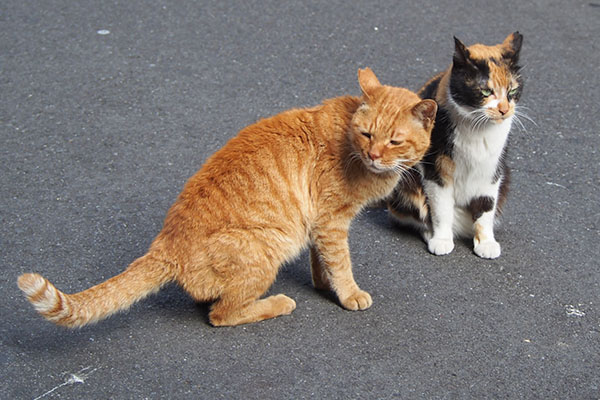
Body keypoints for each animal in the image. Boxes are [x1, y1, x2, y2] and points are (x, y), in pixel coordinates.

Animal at [16, 68, 434, 324]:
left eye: (394, 141)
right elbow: (341, 263)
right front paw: (348, 293)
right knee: (221, 313)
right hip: (268, 249)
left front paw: (322, 284)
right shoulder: (331, 221)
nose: (374, 154)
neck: (351, 146)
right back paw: (276, 303)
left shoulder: (319, 223)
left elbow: (322, 260)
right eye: (367, 134)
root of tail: (165, 246)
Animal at [386, 33, 524, 260]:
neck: (478, 129)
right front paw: (441, 240)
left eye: (512, 90)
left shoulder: (492, 169)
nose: (504, 110)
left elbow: (486, 207)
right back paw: (431, 233)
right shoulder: (437, 169)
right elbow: (441, 208)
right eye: (485, 91)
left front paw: (486, 243)